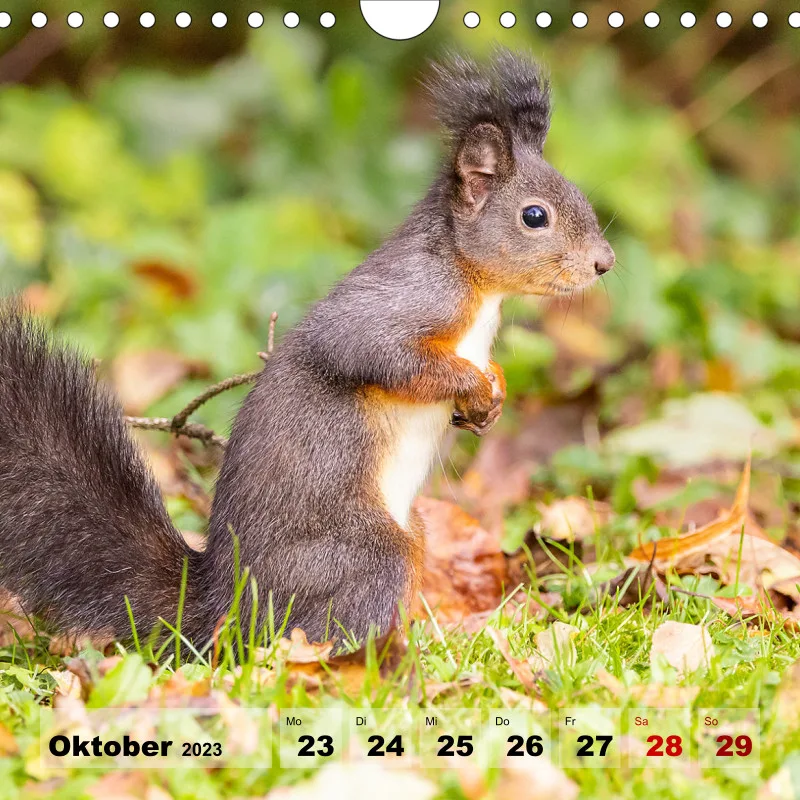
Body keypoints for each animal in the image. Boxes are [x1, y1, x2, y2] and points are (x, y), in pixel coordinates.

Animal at [0, 50, 613, 648]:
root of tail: (227, 607)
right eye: (534, 216)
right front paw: (471, 386)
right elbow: (375, 353)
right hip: (365, 555)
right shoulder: (400, 302)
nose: (605, 262)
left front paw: (493, 395)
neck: (477, 286)